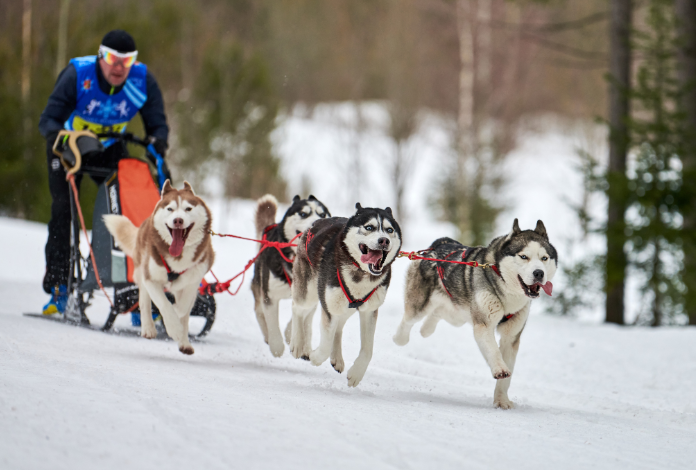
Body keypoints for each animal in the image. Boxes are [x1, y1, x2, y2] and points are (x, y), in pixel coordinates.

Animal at [104, 180, 215, 352]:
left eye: (188, 209)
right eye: (170, 209)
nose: (178, 220)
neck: (178, 258)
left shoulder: (193, 282)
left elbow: (183, 307)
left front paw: (178, 324)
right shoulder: (151, 278)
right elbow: (164, 304)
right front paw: (173, 327)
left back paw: (184, 342)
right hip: (141, 270)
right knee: (144, 299)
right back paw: (149, 328)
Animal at [253, 195, 332, 356]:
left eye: (322, 214)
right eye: (303, 214)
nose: (317, 223)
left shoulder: (311, 295)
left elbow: (302, 315)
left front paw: (293, 336)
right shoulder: (270, 295)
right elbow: (273, 323)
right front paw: (276, 346)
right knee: (259, 311)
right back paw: (268, 336)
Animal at [290, 204, 402, 388]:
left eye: (389, 230)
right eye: (369, 227)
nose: (384, 240)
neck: (360, 272)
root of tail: (317, 222)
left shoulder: (369, 311)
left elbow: (368, 350)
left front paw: (356, 373)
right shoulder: (329, 308)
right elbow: (325, 345)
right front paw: (314, 356)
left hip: (346, 306)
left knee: (338, 327)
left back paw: (336, 358)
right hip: (309, 293)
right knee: (297, 309)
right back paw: (298, 344)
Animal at [394, 220, 556, 408]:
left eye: (544, 258)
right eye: (524, 257)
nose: (539, 273)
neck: (507, 293)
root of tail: (439, 244)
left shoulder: (511, 337)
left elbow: (506, 374)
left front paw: (501, 400)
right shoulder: (483, 326)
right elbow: (493, 351)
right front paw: (500, 369)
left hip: (457, 315)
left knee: (438, 313)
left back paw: (426, 329)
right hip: (419, 306)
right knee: (408, 319)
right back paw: (400, 338)